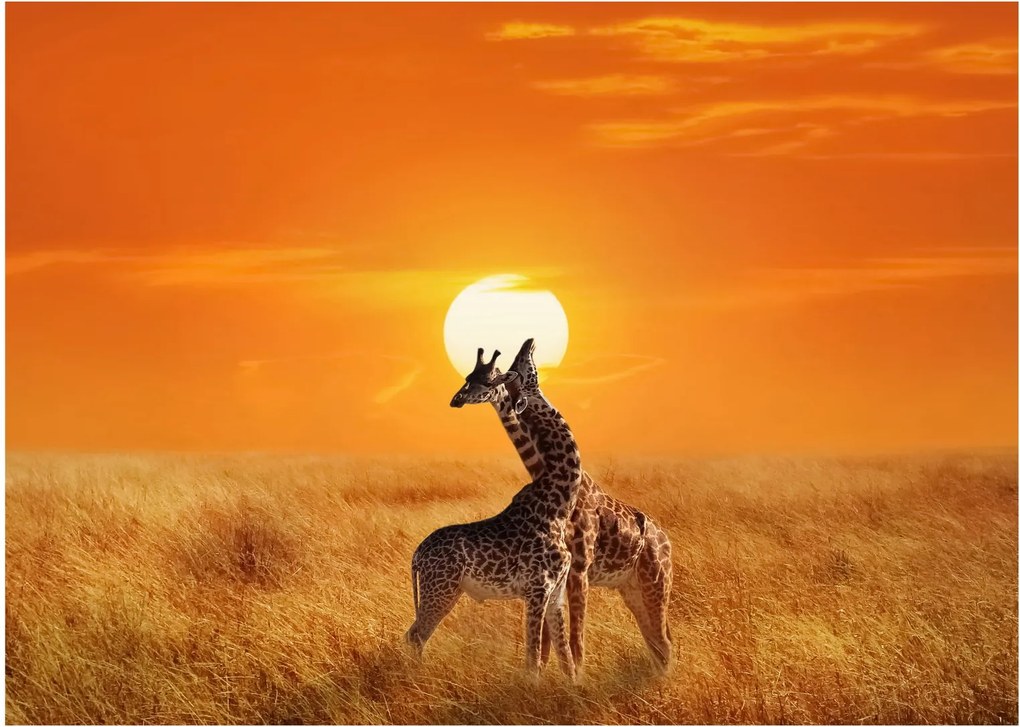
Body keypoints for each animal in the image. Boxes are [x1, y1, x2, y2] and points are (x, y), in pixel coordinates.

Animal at [406, 348, 584, 680]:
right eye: (469, 379)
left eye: (486, 380)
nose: (457, 399)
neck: (558, 505)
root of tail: (417, 556)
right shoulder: (537, 589)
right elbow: (533, 658)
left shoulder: (556, 593)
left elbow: (565, 658)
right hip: (441, 589)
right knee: (415, 635)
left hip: (445, 590)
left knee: (414, 634)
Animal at [450, 338, 674, 673]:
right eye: (469, 377)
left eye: (491, 378)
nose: (528, 342)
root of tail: (667, 540)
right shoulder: (559, 573)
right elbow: (550, 641)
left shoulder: (578, 568)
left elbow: (573, 640)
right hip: (631, 587)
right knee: (657, 640)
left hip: (656, 582)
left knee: (664, 640)